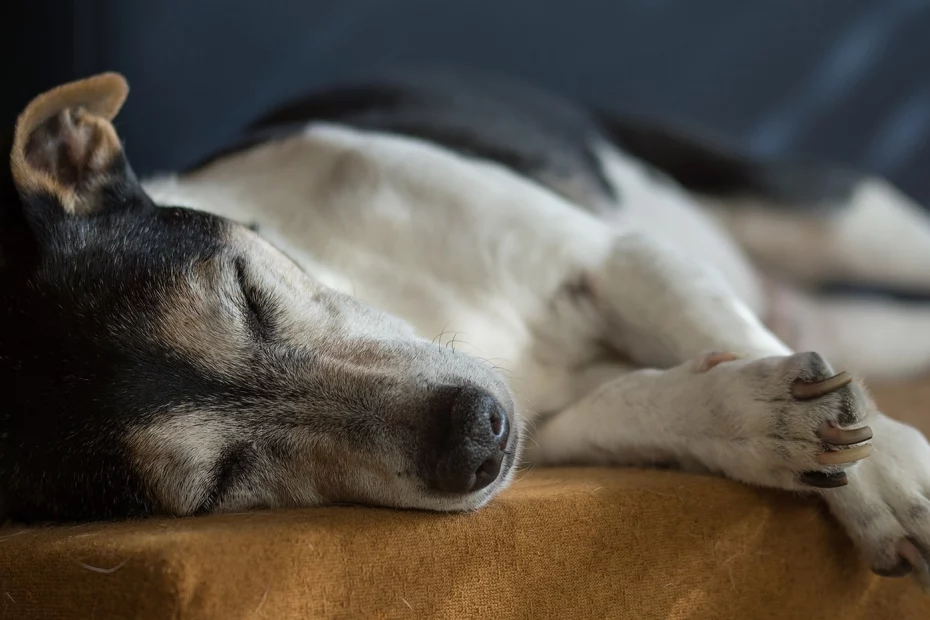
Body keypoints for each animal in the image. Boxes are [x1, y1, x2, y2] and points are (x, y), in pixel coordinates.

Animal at [5, 69, 928, 592]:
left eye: (246, 291)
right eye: (220, 485)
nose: (476, 436)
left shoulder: (617, 258)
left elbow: (716, 324)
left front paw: (880, 472)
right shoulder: (554, 430)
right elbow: (649, 406)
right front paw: (764, 422)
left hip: (831, 217)